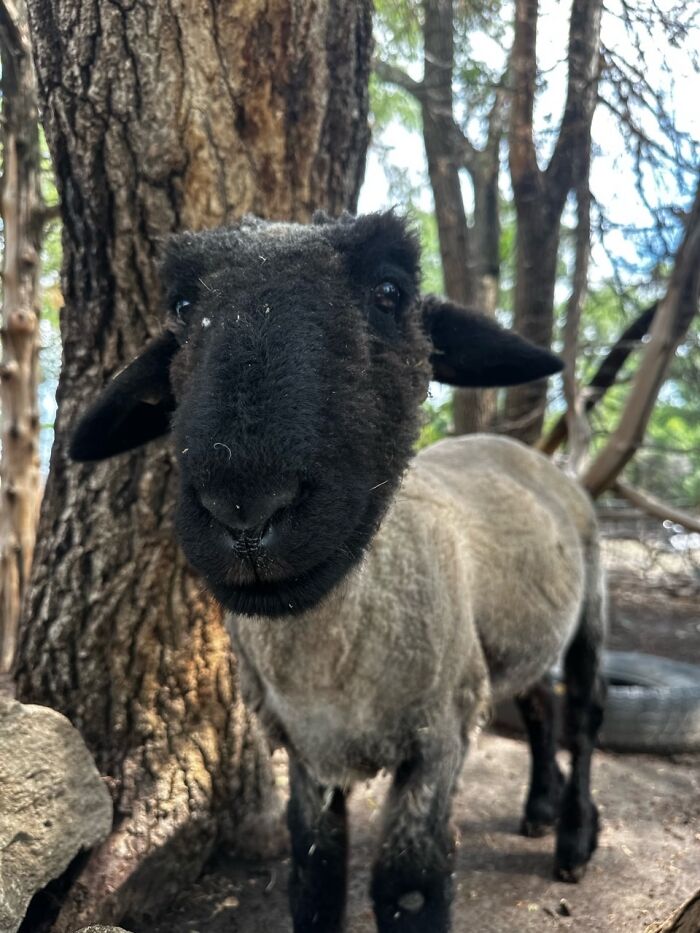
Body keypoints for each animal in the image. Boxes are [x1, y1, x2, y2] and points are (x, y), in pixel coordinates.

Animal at [71, 211, 606, 933]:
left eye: (390, 291)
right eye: (181, 307)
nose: (246, 508)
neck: (332, 663)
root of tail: (529, 452)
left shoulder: (438, 739)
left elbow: (407, 888)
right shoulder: (305, 754)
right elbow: (315, 879)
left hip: (591, 607)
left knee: (584, 715)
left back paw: (575, 838)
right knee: (539, 702)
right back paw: (541, 810)